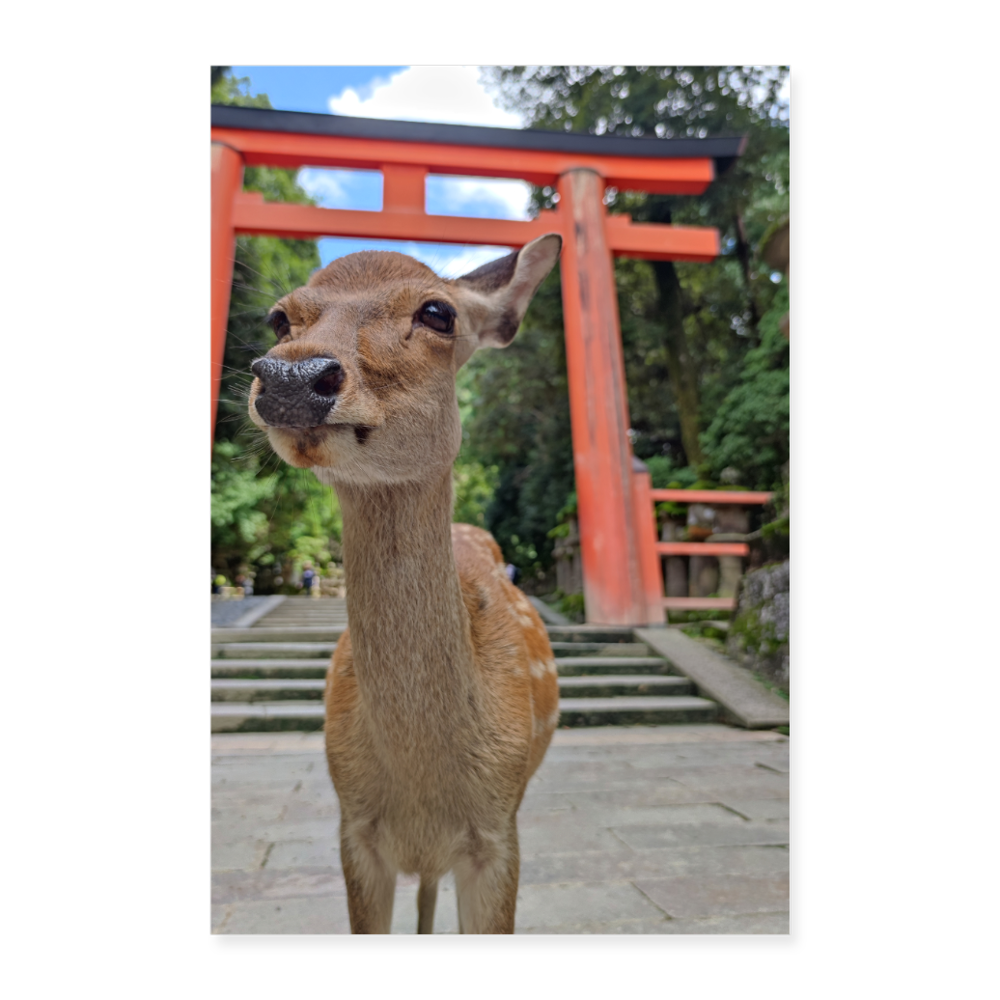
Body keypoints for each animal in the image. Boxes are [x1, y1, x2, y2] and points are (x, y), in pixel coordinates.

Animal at [246, 233, 563, 934]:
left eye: (438, 312)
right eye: (280, 318)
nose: (290, 377)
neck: (422, 786)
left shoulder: (499, 834)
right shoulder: (355, 830)